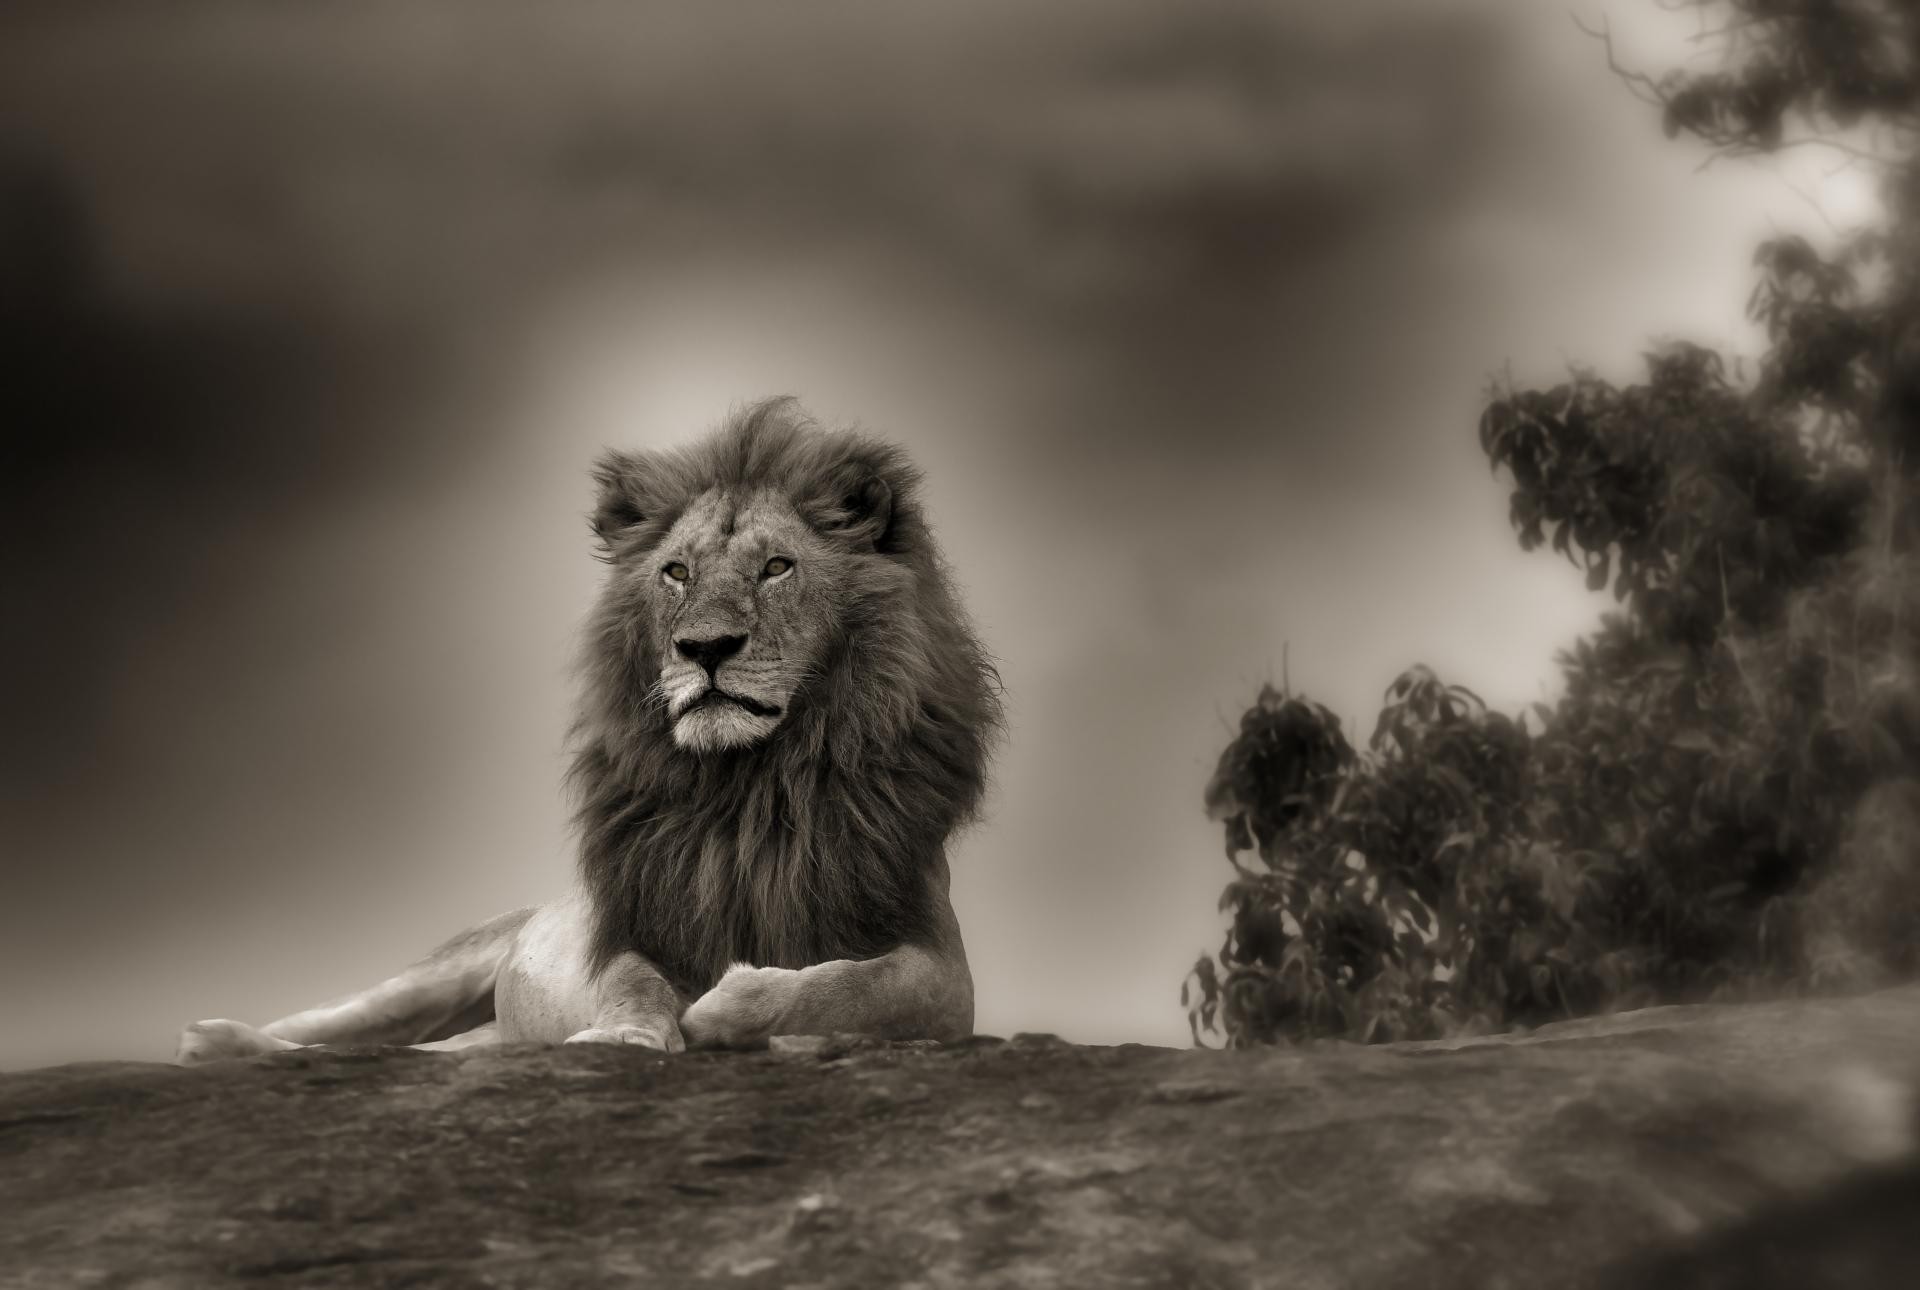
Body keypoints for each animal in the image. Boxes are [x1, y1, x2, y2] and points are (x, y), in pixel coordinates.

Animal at [176, 398, 1002, 1062]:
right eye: (676, 572)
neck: (748, 784)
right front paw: (625, 1034)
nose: (704, 648)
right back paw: (214, 1039)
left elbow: (847, 986)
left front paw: (726, 1011)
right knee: (345, 1026)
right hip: (432, 976)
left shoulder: (941, 972)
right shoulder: (635, 927)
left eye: (776, 567)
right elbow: (634, 984)